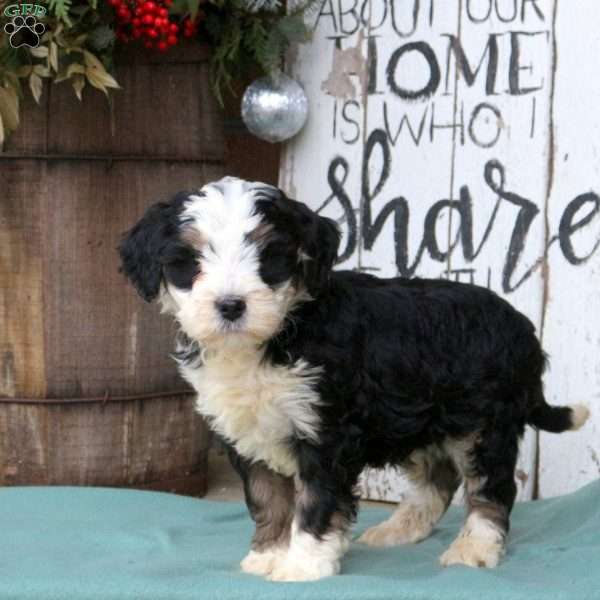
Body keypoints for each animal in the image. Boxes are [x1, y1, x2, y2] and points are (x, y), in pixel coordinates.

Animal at [118, 175, 592, 580]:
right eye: (189, 262)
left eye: (270, 259)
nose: (231, 305)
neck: (277, 336)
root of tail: (523, 328)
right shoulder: (248, 434)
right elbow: (268, 496)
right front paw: (268, 554)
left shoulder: (324, 429)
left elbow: (314, 501)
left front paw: (303, 565)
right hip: (419, 416)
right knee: (437, 479)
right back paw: (399, 531)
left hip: (484, 422)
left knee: (491, 487)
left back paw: (473, 547)